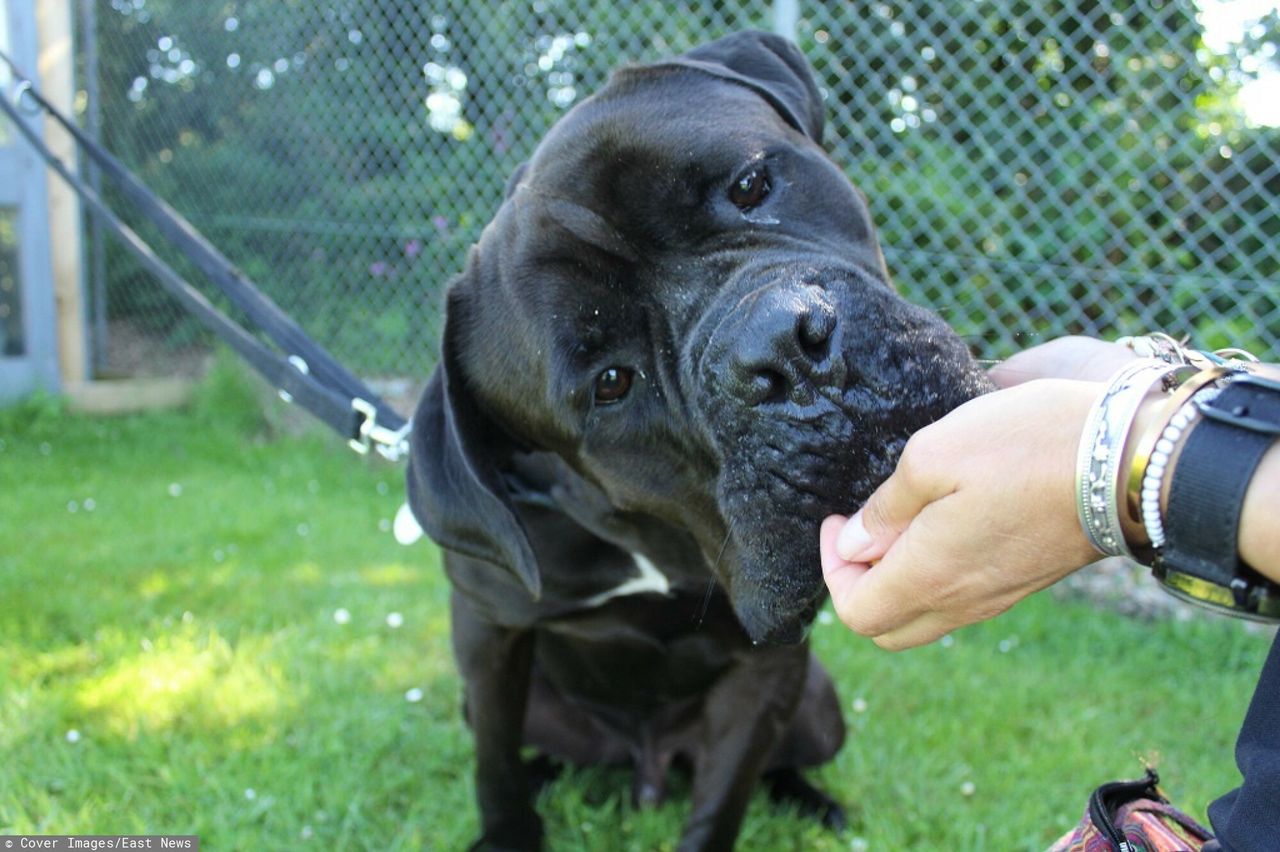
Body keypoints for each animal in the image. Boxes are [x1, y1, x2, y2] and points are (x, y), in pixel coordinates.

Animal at [404, 29, 983, 844]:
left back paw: (813, 801)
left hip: (820, 703)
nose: (778, 351)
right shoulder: (488, 634)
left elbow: (724, 798)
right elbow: (494, 763)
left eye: (749, 185)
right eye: (612, 382)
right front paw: (508, 832)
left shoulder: (767, 670)